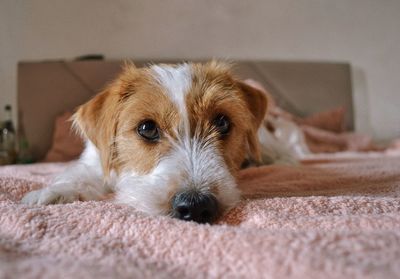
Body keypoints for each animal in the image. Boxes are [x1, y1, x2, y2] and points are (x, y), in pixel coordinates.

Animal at [20, 61, 300, 225]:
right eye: (147, 128)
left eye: (222, 122)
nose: (197, 206)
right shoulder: (95, 162)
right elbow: (79, 175)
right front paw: (52, 193)